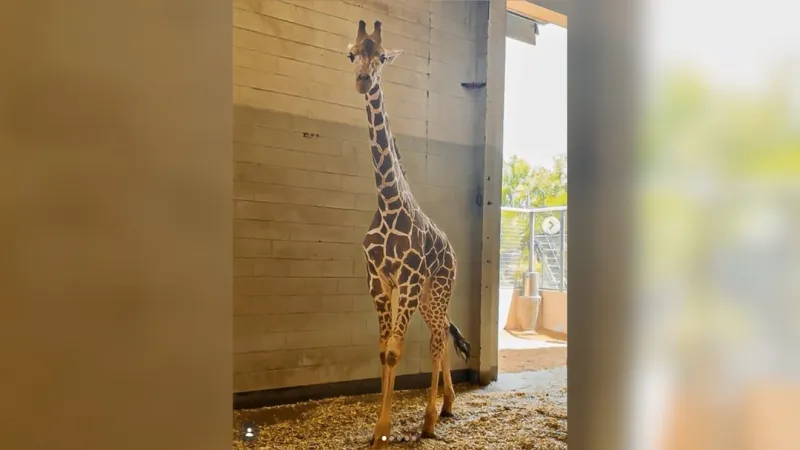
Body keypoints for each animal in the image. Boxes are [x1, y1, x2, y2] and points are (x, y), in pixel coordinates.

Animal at [346, 20, 472, 448]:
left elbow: (395, 351)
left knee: (437, 338)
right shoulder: (378, 281)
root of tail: (452, 250)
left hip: (436, 287)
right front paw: (375, 430)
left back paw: (431, 419)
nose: (363, 80)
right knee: (441, 333)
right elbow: (383, 349)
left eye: (383, 56)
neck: (387, 203)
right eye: (352, 54)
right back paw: (447, 404)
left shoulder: (409, 279)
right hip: (425, 296)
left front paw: (384, 429)